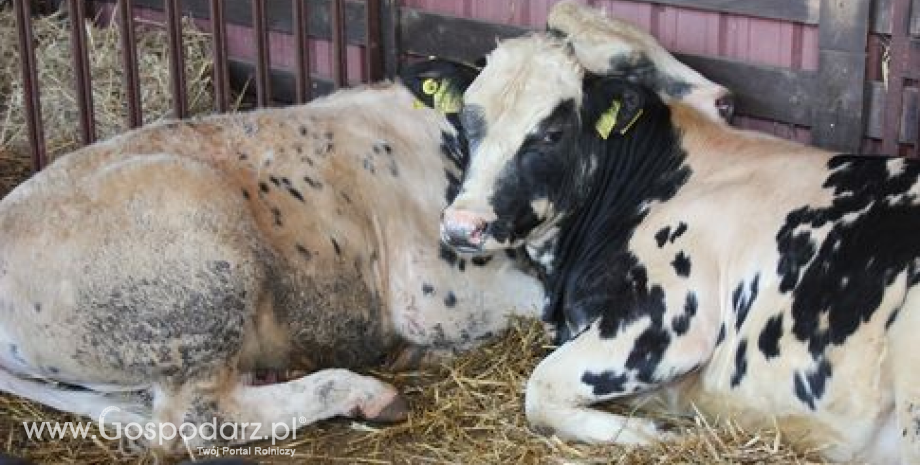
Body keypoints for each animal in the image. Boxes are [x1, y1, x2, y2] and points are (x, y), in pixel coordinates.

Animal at [434, 30, 920, 462]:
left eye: (551, 134)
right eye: (466, 121)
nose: (462, 225)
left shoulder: (669, 320)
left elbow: (539, 387)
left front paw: (651, 434)